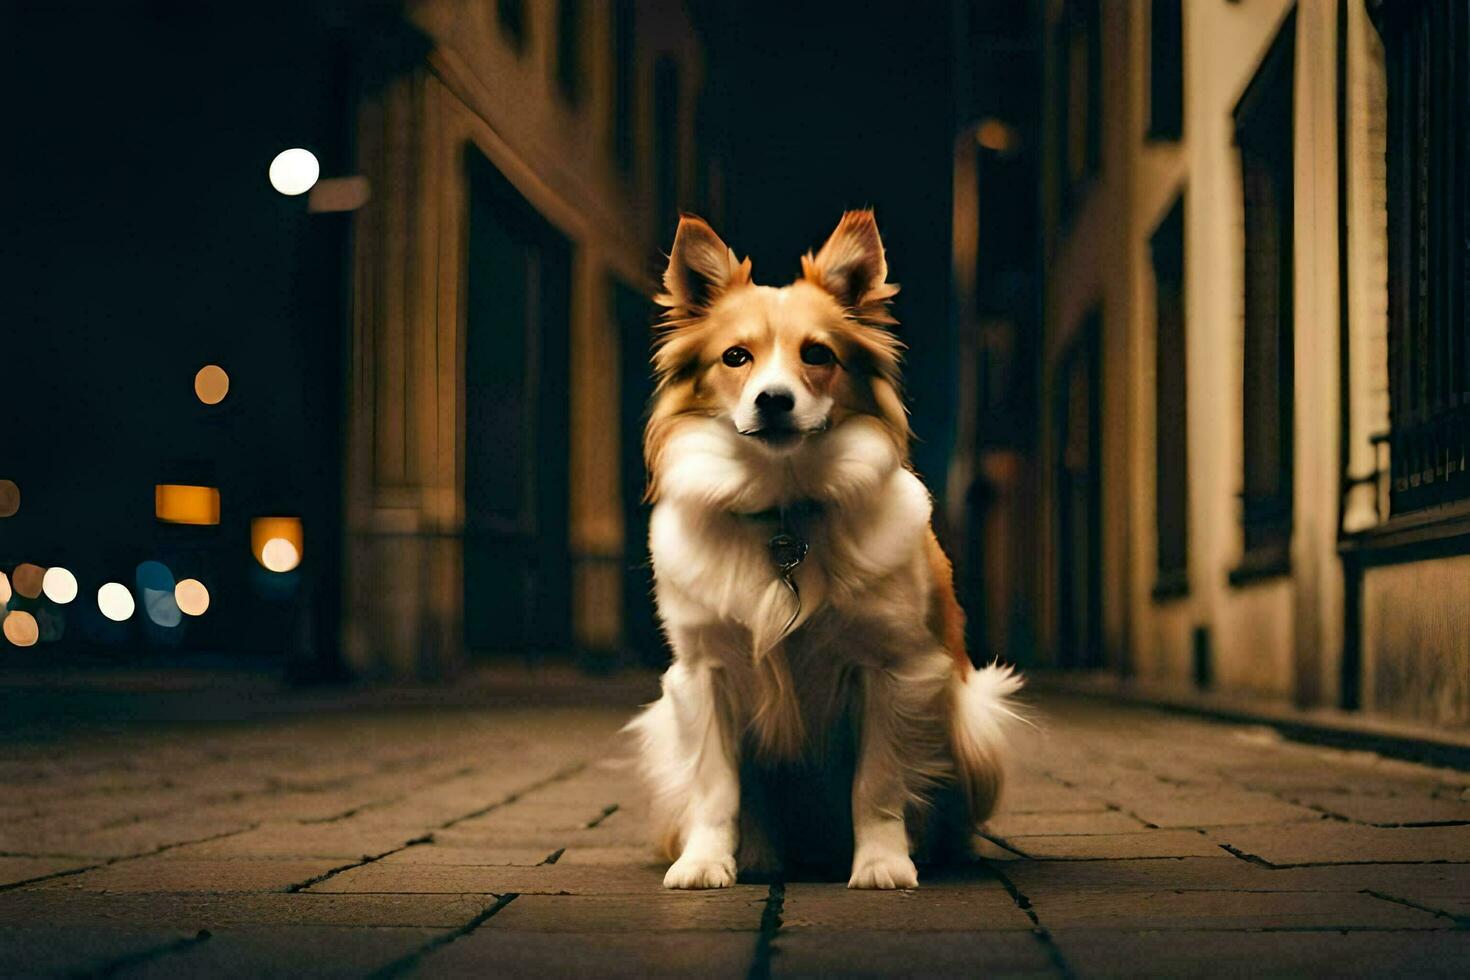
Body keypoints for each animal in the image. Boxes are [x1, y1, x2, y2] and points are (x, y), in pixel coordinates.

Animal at [629, 213, 1023, 887]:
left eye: (817, 354)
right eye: (735, 357)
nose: (773, 400)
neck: (785, 513)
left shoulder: (894, 671)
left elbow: (878, 783)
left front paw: (883, 862)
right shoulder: (701, 677)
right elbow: (716, 787)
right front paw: (706, 861)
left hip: (977, 719)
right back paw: (759, 856)